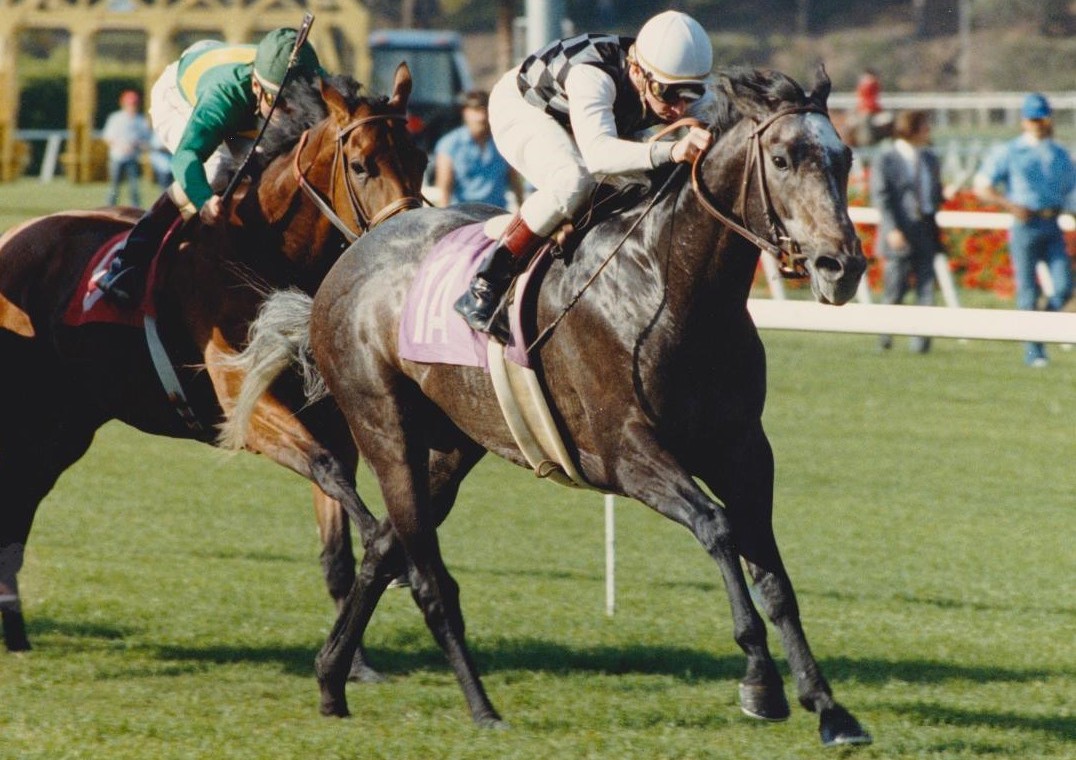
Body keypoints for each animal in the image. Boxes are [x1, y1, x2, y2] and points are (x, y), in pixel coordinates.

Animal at [0, 68, 428, 650]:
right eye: (361, 165)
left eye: (421, 158)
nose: (410, 245)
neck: (267, 253)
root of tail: (12, 238)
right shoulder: (244, 405)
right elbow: (326, 466)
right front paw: (398, 564)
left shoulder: (328, 414)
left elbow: (335, 536)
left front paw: (356, 657)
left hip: (65, 426)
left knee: (21, 501)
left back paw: (16, 629)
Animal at [224, 68, 873, 744]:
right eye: (782, 158)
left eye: (845, 159)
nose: (843, 266)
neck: (669, 286)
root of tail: (344, 263)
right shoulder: (624, 454)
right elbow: (718, 529)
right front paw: (761, 682)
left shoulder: (744, 450)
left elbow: (774, 576)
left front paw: (830, 709)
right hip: (384, 428)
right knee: (427, 577)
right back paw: (481, 707)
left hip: (453, 445)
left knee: (381, 545)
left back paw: (331, 678)